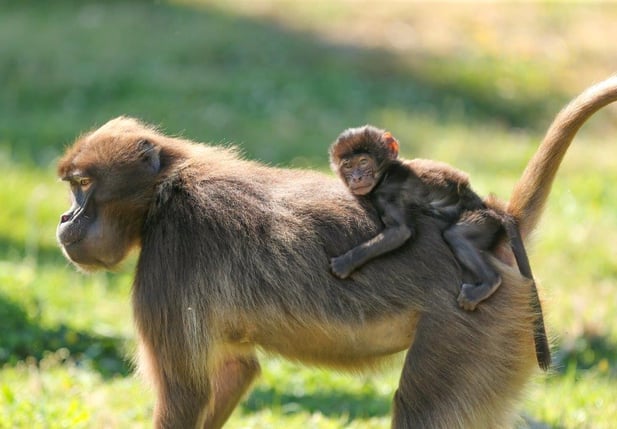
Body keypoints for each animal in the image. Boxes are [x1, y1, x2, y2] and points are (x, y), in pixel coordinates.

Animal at [56, 75, 616, 426]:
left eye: (83, 186)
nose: (64, 221)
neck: (166, 190)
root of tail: (499, 225)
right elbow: (235, 370)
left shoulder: (171, 255)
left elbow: (185, 395)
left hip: (476, 327)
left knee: (423, 411)